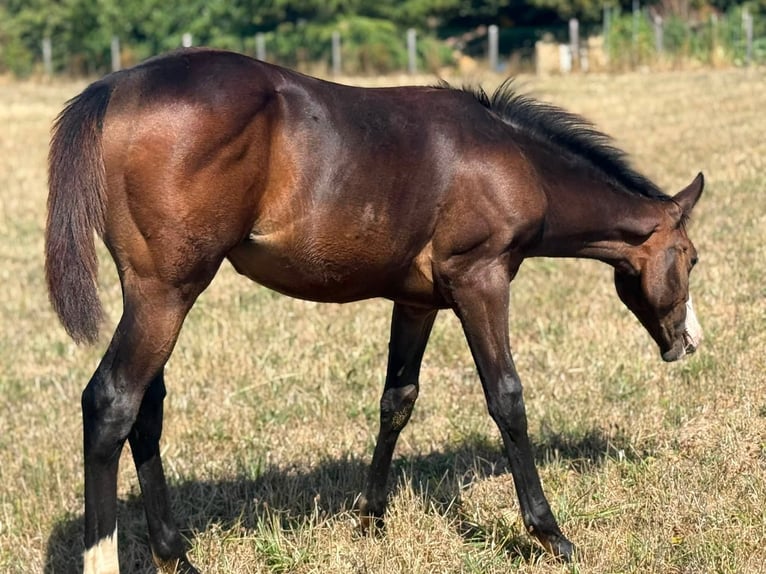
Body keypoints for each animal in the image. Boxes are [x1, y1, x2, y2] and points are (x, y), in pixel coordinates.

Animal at [45, 48, 703, 573]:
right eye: (692, 258)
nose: (687, 342)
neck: (510, 159)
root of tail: (117, 87)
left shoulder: (416, 302)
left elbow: (397, 400)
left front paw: (371, 519)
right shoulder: (481, 281)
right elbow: (508, 399)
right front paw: (551, 535)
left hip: (155, 298)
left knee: (146, 411)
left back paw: (176, 555)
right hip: (167, 293)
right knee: (112, 402)